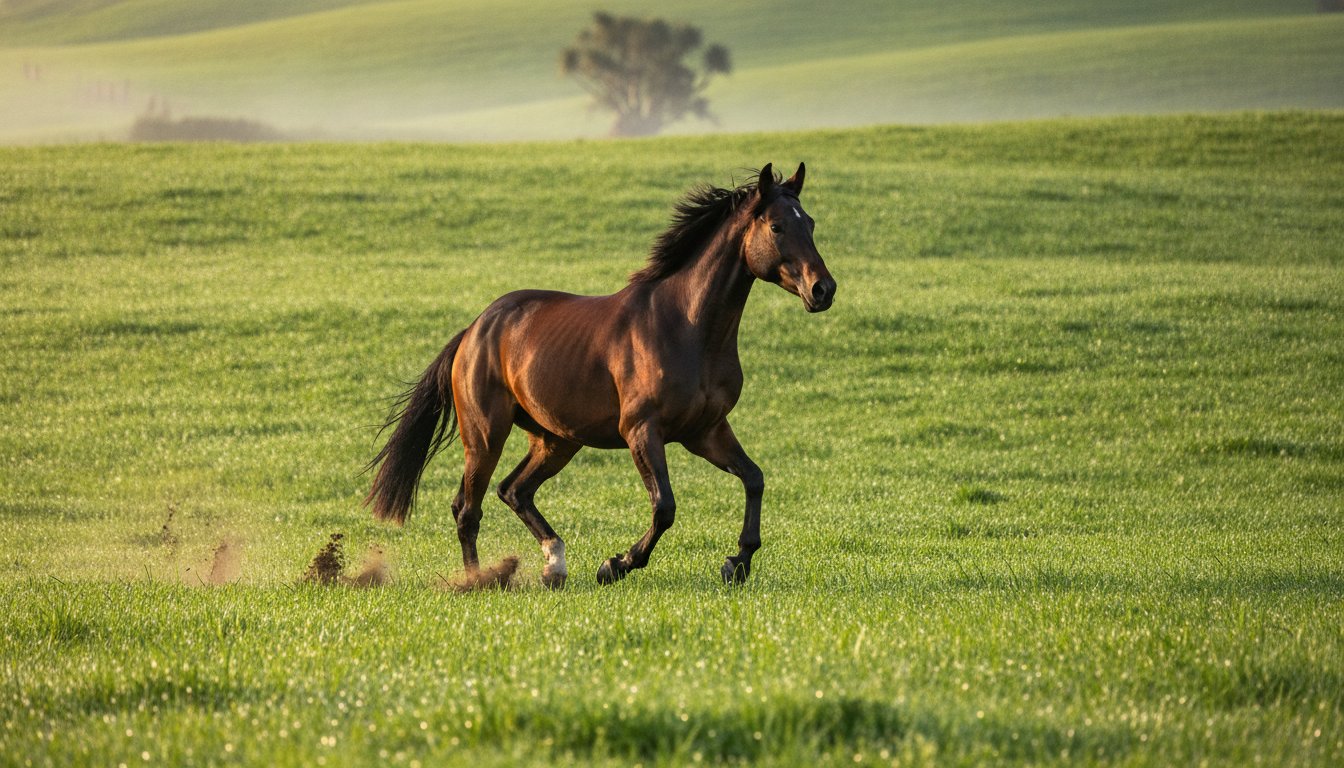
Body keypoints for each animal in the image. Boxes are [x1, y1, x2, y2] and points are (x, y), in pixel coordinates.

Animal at [365, 163, 835, 588]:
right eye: (776, 226)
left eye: (810, 223)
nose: (823, 290)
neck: (686, 327)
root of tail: (474, 330)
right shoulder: (642, 430)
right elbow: (664, 506)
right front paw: (616, 565)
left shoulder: (707, 431)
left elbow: (754, 479)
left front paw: (736, 564)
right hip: (485, 435)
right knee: (468, 508)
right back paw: (479, 579)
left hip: (556, 440)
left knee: (514, 490)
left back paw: (554, 566)